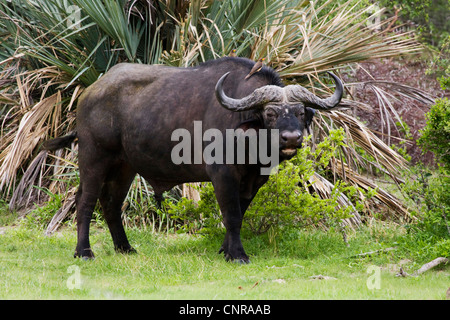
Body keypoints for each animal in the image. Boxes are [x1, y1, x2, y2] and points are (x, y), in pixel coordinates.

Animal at [44, 57, 342, 262]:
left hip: (124, 166)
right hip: (93, 158)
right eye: (270, 113)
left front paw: (225, 249)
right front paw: (238, 255)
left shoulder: (254, 181)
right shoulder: (222, 174)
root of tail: (90, 92)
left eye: (301, 112)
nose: (291, 138)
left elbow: (240, 213)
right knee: (85, 201)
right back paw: (84, 252)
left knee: (111, 203)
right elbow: (232, 214)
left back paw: (125, 248)